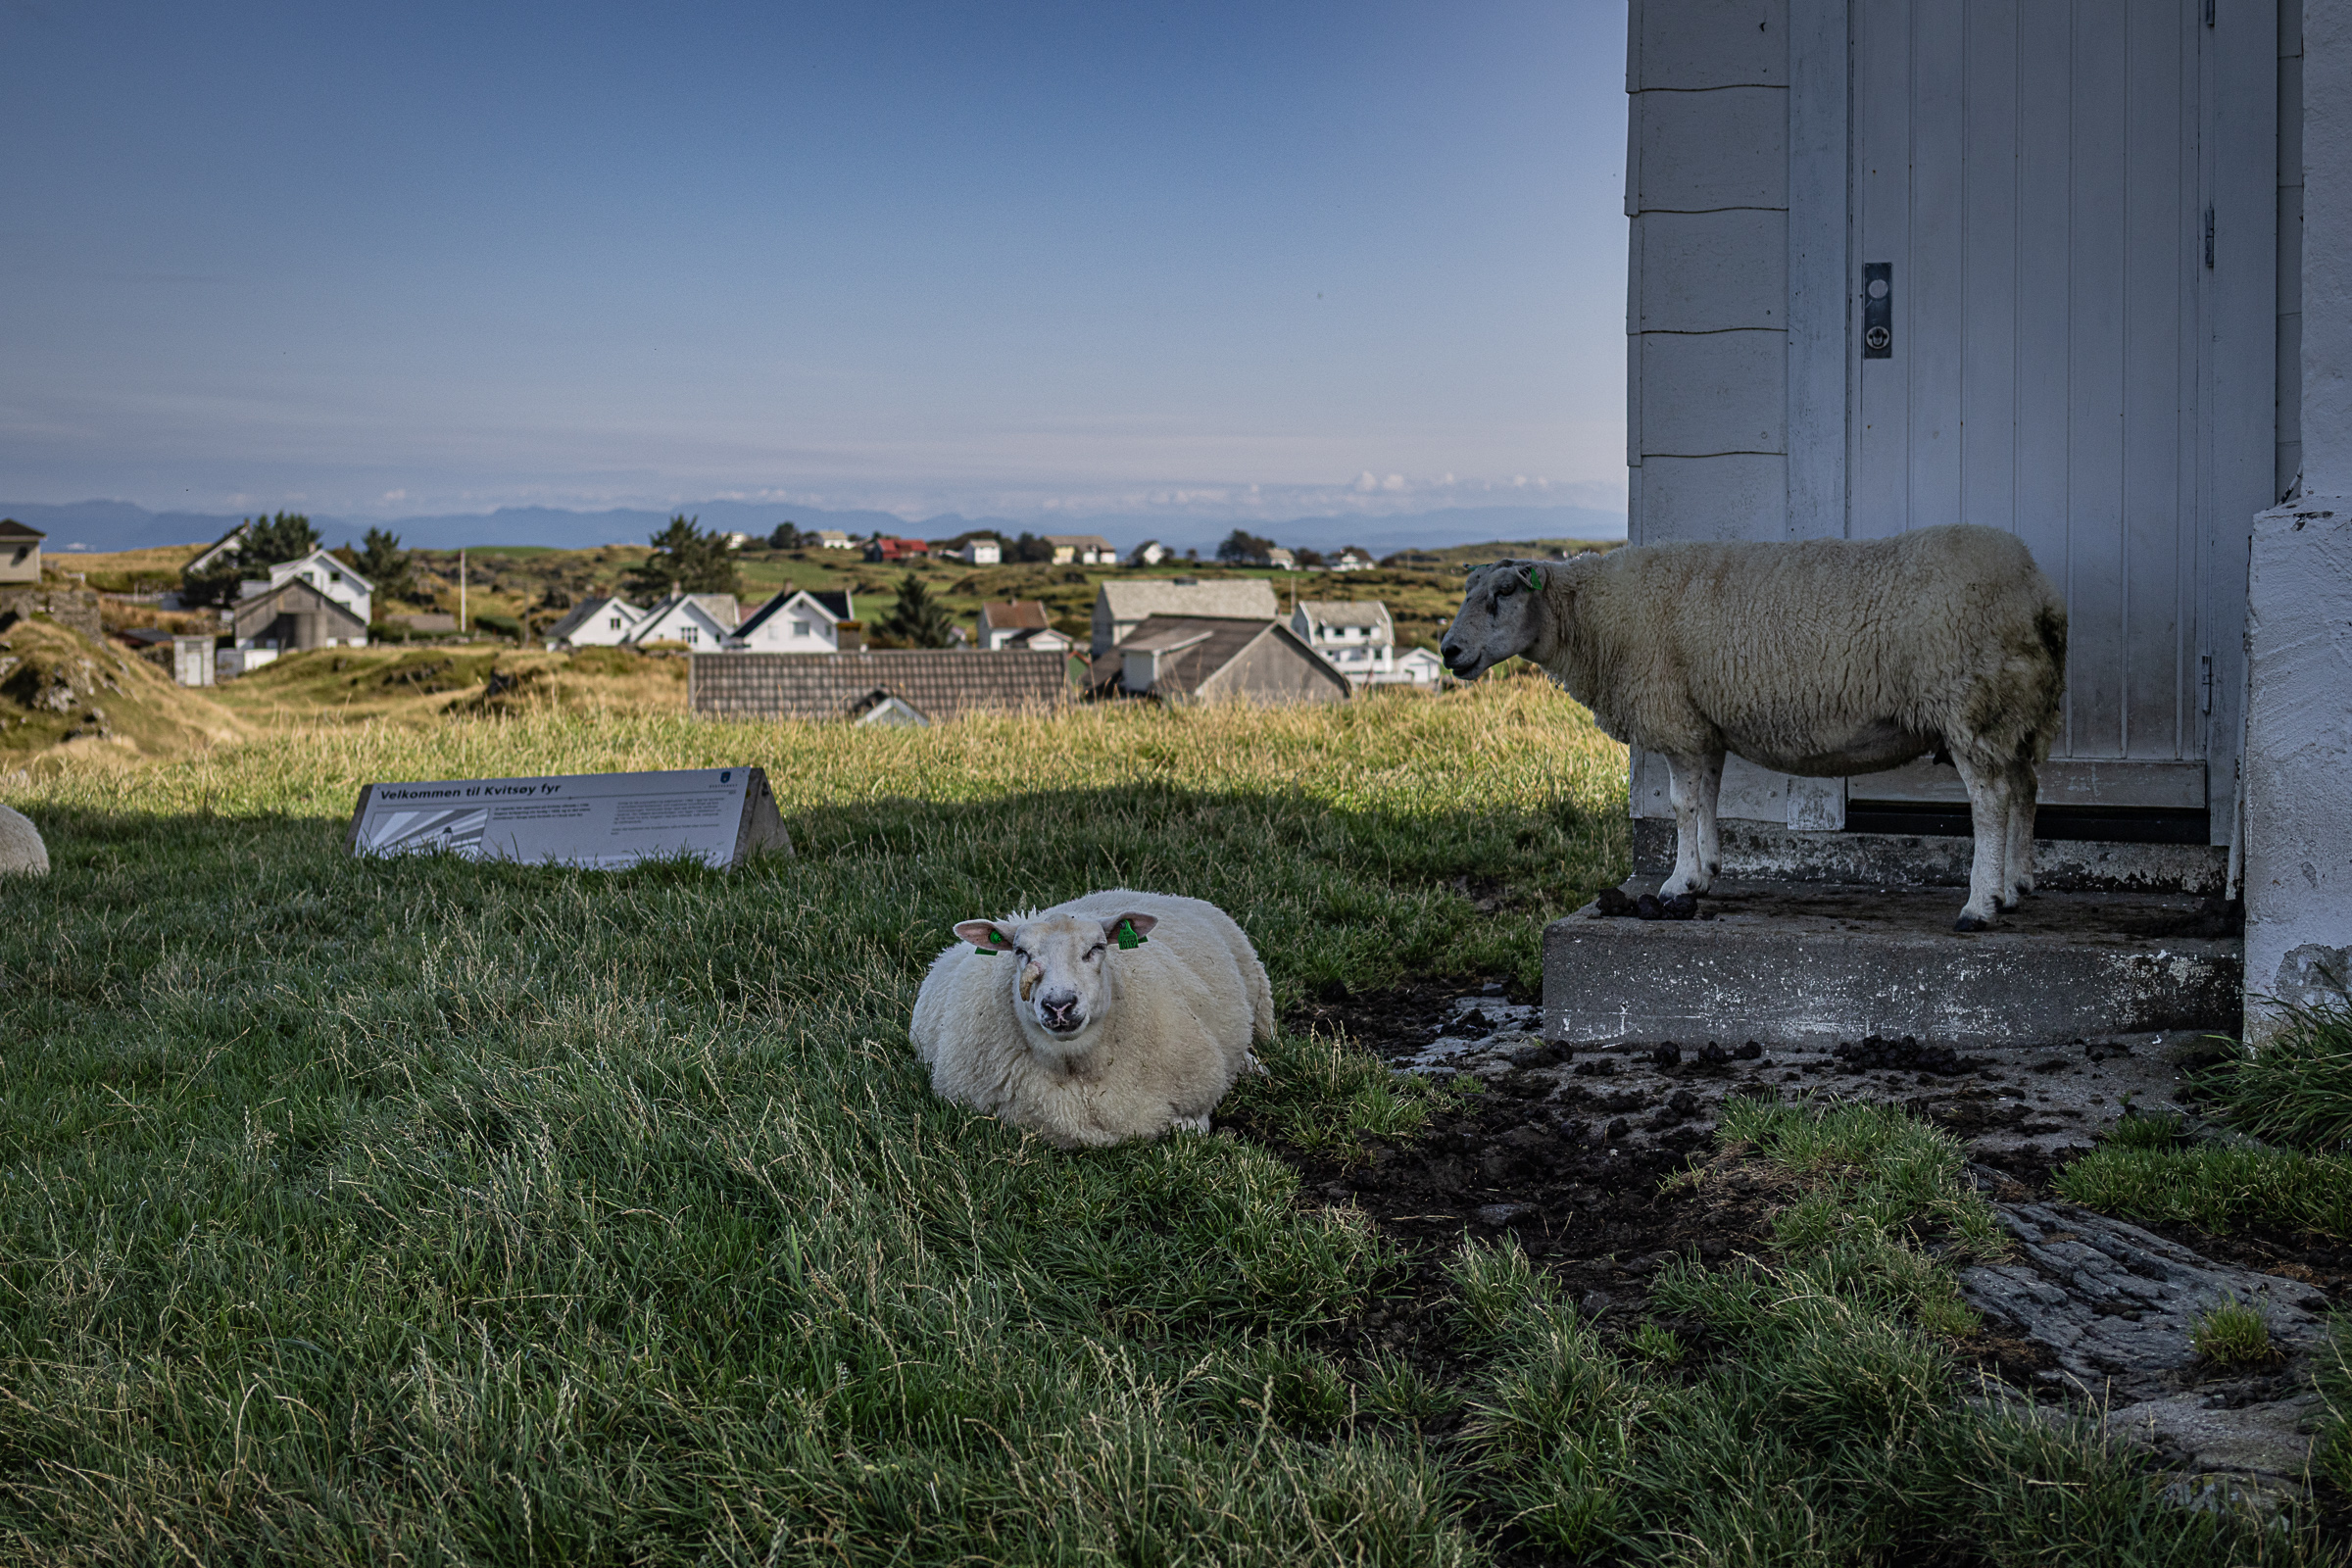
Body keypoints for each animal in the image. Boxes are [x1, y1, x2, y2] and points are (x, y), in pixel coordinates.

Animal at [910, 888, 1275, 1148]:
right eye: (1020, 952)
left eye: (1097, 947)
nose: (1059, 1005)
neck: (1077, 1067)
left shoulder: (1195, 1096)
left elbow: (1190, 1131)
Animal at [1439, 524, 2066, 930]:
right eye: (1468, 592)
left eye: (1503, 593)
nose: (1449, 651)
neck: (1591, 619)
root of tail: (2037, 591)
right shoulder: (1702, 723)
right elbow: (1708, 798)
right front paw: (1706, 872)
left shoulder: (1674, 718)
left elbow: (1681, 804)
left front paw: (1678, 883)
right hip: (2015, 709)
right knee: (2025, 788)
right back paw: (2017, 886)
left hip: (1969, 703)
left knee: (1991, 801)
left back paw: (1980, 905)